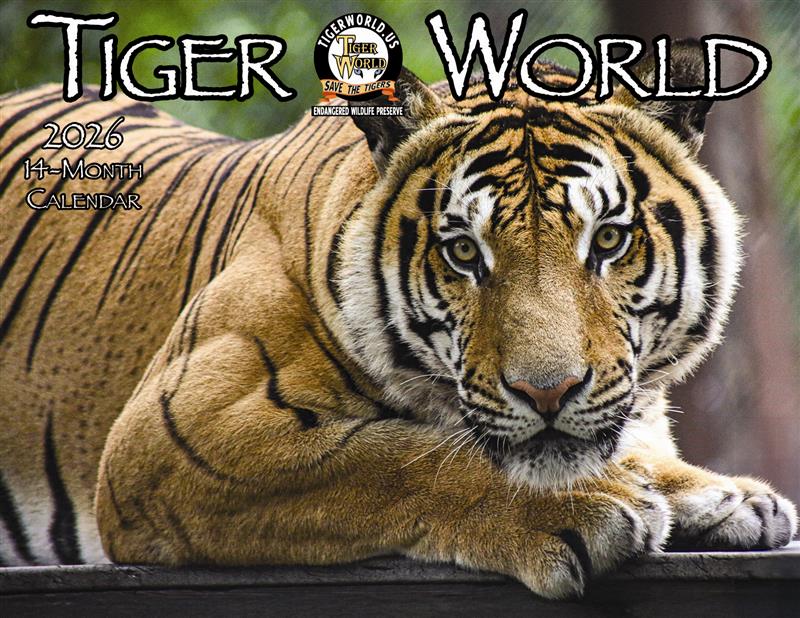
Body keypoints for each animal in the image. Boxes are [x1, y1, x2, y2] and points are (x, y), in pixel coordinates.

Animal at [0, 41, 796, 599]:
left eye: (607, 241)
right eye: (463, 251)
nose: (547, 393)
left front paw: (723, 495)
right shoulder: (174, 432)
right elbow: (392, 456)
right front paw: (588, 504)